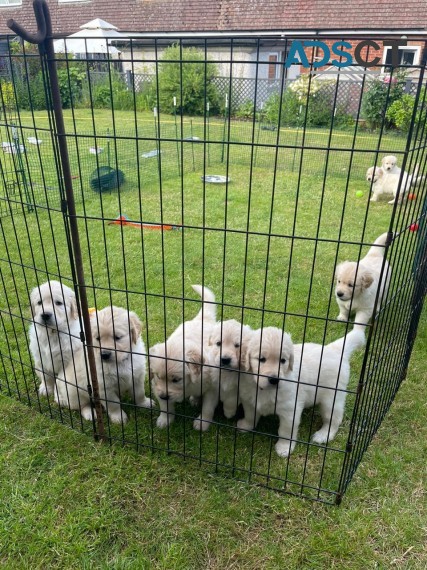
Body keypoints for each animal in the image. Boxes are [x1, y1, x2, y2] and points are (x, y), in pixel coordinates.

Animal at [150, 284, 217, 430]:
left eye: (176, 380)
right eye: (158, 376)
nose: (163, 396)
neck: (188, 385)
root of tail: (202, 319)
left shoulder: (212, 388)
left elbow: (208, 408)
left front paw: (202, 423)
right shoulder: (156, 386)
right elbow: (165, 407)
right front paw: (165, 419)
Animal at [237, 324, 364, 458]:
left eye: (283, 360)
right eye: (261, 359)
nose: (274, 379)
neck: (263, 389)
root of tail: (335, 350)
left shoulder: (290, 410)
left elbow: (286, 431)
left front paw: (284, 447)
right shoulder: (249, 401)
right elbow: (250, 416)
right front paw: (246, 426)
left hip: (332, 399)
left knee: (333, 419)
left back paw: (323, 435)